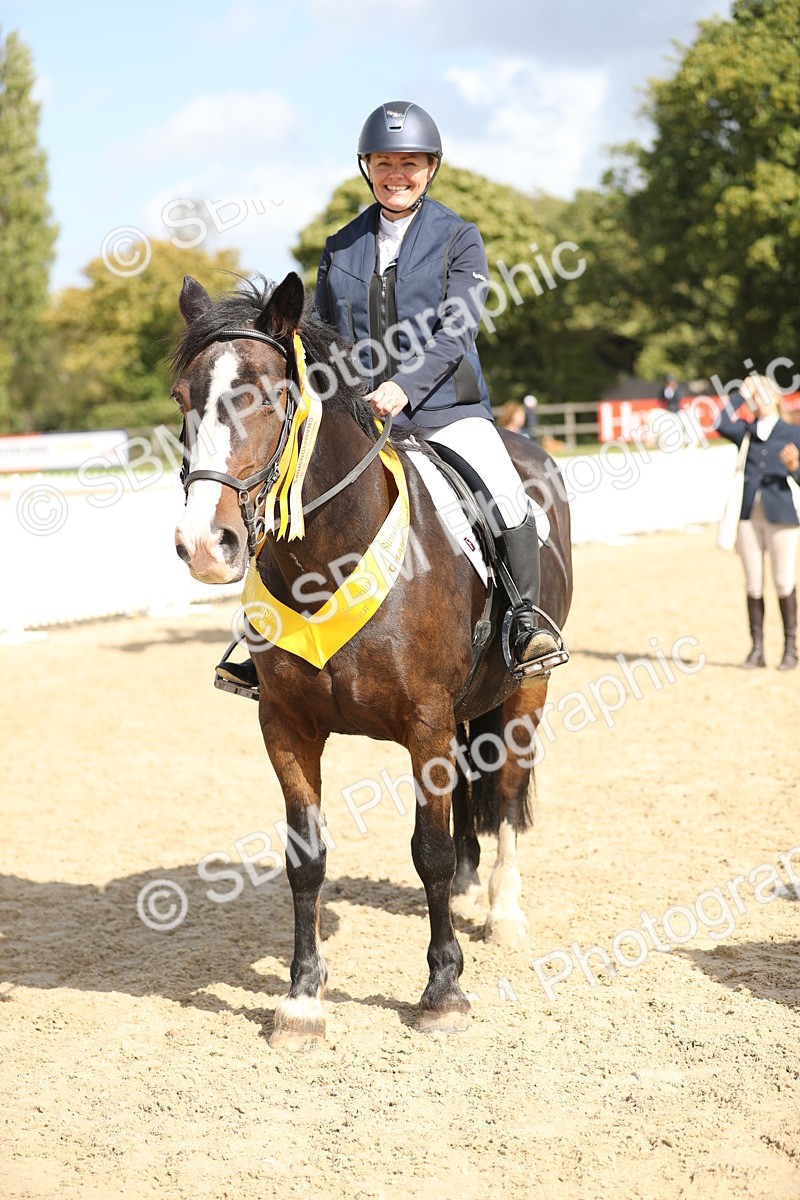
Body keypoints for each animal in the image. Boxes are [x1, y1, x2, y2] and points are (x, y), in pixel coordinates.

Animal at [172, 272, 573, 1050]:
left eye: (264, 393)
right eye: (183, 399)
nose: (206, 545)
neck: (329, 555)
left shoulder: (425, 722)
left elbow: (429, 852)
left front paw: (443, 989)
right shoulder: (286, 724)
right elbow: (306, 857)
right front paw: (301, 1000)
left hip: (523, 695)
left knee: (508, 792)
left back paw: (503, 911)